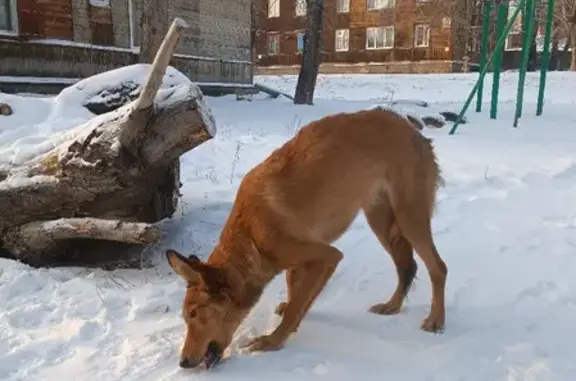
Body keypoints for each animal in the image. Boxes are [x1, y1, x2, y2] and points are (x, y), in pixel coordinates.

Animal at [164, 105, 448, 366]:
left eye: (193, 314)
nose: (183, 363)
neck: (251, 236)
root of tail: (413, 129)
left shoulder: (328, 256)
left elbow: (297, 305)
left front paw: (273, 341)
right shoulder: (306, 262)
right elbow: (297, 295)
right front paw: (289, 320)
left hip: (409, 218)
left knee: (438, 268)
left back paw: (436, 320)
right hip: (380, 220)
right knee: (407, 266)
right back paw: (393, 305)